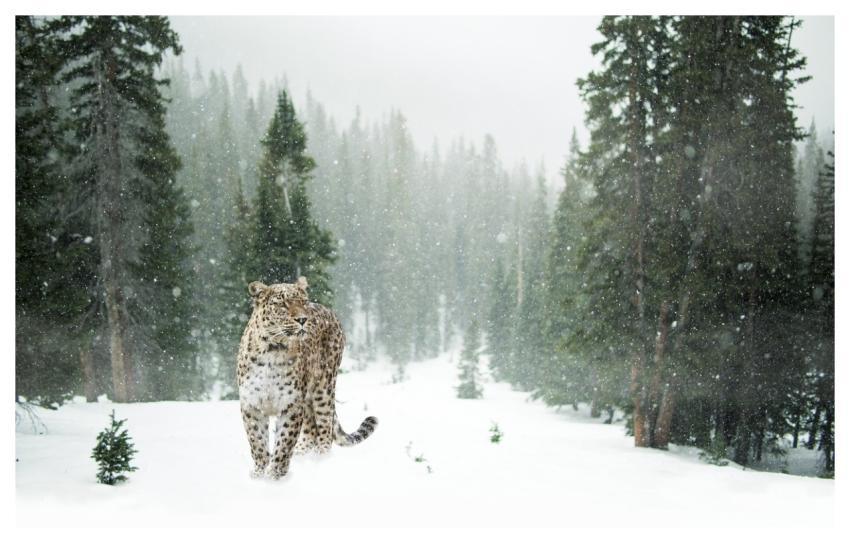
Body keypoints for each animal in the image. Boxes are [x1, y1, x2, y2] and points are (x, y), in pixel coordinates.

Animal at [237, 276, 378, 479]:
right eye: (282, 304)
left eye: (302, 302)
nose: (303, 319)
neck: (273, 351)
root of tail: (329, 311)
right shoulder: (252, 405)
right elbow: (257, 442)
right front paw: (259, 473)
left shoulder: (291, 405)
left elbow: (284, 442)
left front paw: (275, 475)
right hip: (309, 397)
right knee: (311, 429)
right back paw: (302, 454)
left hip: (324, 388)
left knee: (325, 428)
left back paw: (321, 460)